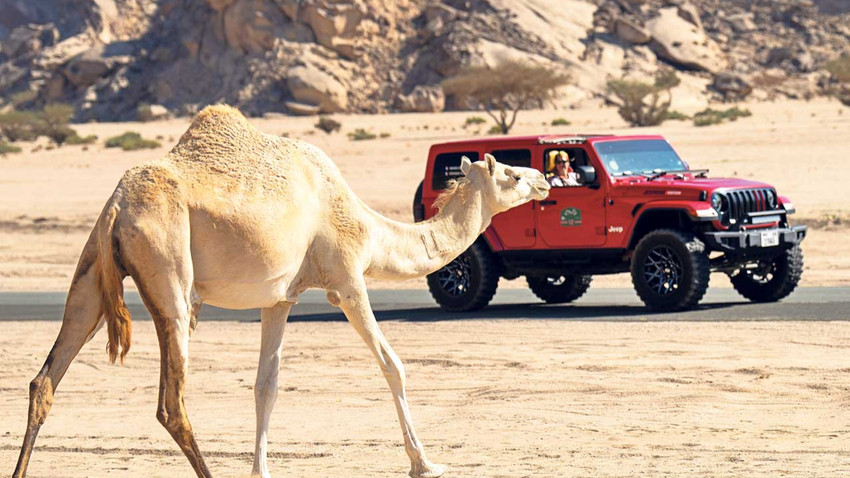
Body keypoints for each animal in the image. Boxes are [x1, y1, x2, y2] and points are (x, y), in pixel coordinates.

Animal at [13, 105, 548, 478]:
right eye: (510, 172)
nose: (545, 179)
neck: (366, 226)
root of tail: (117, 208)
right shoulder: (346, 281)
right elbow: (392, 365)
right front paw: (425, 463)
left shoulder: (279, 299)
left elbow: (265, 385)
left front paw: (261, 469)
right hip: (170, 274)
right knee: (172, 404)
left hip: (90, 274)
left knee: (45, 380)